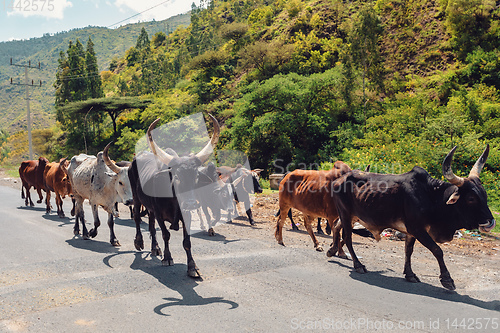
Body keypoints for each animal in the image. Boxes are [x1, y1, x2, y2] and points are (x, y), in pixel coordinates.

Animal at [130, 114, 220, 278]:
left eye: (196, 176)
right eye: (177, 176)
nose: (191, 203)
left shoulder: (185, 214)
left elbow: (187, 241)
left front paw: (192, 267)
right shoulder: (159, 214)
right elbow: (166, 234)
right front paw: (167, 258)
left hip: (150, 208)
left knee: (151, 226)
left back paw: (155, 248)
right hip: (136, 197)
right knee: (137, 217)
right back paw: (139, 242)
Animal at [330, 145, 494, 288]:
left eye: (484, 194)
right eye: (471, 198)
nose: (491, 222)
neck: (431, 197)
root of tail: (339, 180)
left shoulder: (411, 231)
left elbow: (408, 251)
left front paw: (410, 274)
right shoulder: (418, 229)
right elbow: (437, 250)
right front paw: (447, 279)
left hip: (351, 217)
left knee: (338, 229)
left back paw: (332, 250)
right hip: (345, 214)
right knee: (348, 238)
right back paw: (358, 265)